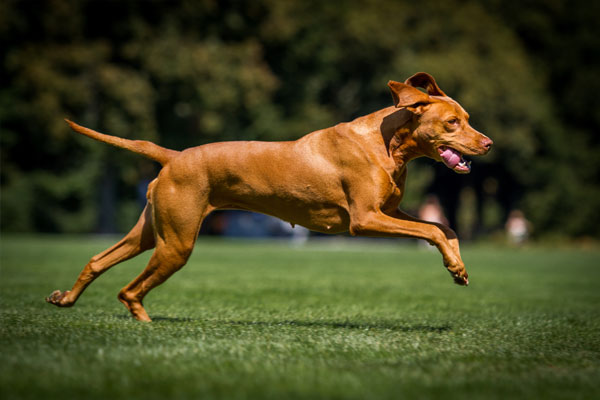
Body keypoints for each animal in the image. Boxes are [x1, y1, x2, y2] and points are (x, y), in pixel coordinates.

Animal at [45, 72, 492, 322]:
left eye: (468, 119)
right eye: (452, 123)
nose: (488, 144)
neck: (387, 144)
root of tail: (175, 155)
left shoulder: (392, 210)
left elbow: (444, 227)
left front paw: (458, 266)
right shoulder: (366, 219)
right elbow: (432, 231)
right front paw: (455, 265)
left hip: (152, 232)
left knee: (97, 259)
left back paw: (65, 298)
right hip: (176, 243)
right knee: (129, 290)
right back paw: (143, 322)